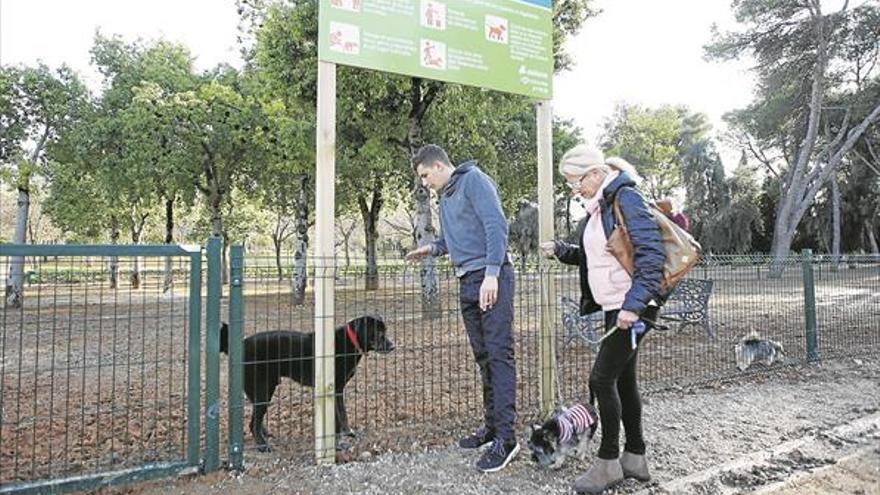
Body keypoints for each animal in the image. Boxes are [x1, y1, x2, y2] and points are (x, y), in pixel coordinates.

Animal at [220, 316, 396, 452]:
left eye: (385, 331)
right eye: (379, 332)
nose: (393, 346)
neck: (350, 342)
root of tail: (241, 345)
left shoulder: (338, 390)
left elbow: (342, 415)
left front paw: (346, 434)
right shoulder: (333, 389)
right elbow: (338, 418)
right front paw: (337, 443)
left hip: (264, 390)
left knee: (256, 417)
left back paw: (265, 434)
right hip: (263, 390)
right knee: (253, 423)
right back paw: (262, 446)